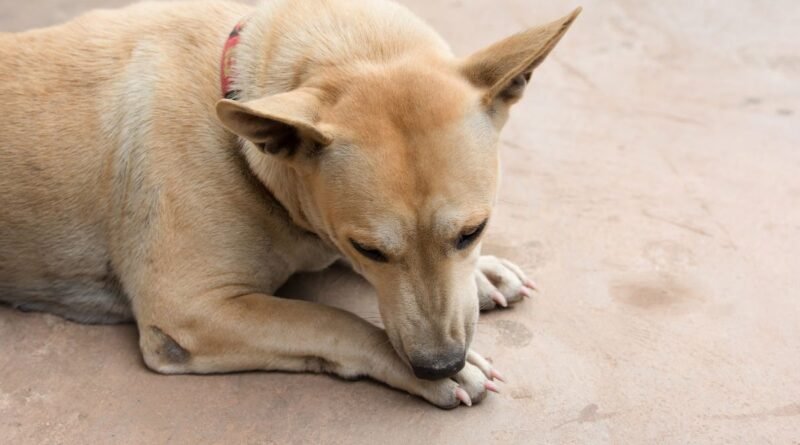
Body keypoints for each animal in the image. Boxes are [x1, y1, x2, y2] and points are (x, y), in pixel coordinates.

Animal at [0, 0, 576, 408]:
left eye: (473, 232)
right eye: (369, 249)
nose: (439, 364)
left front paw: (482, 273)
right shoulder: (189, 310)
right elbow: (330, 320)